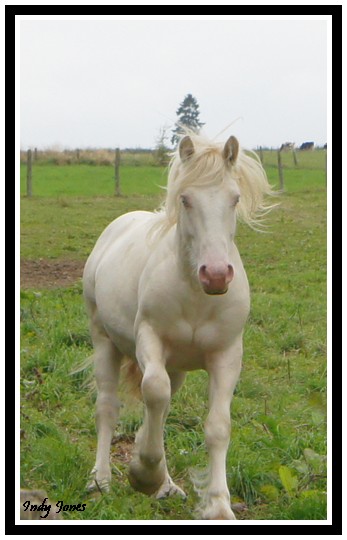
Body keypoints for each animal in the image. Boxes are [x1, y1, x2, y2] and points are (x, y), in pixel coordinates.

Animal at [83, 132, 274, 520]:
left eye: (234, 198)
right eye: (186, 199)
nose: (216, 275)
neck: (197, 296)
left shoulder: (227, 356)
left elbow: (217, 427)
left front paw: (218, 505)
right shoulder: (150, 340)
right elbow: (155, 391)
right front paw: (143, 474)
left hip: (178, 367)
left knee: (160, 409)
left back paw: (166, 485)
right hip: (104, 340)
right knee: (108, 406)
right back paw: (101, 480)